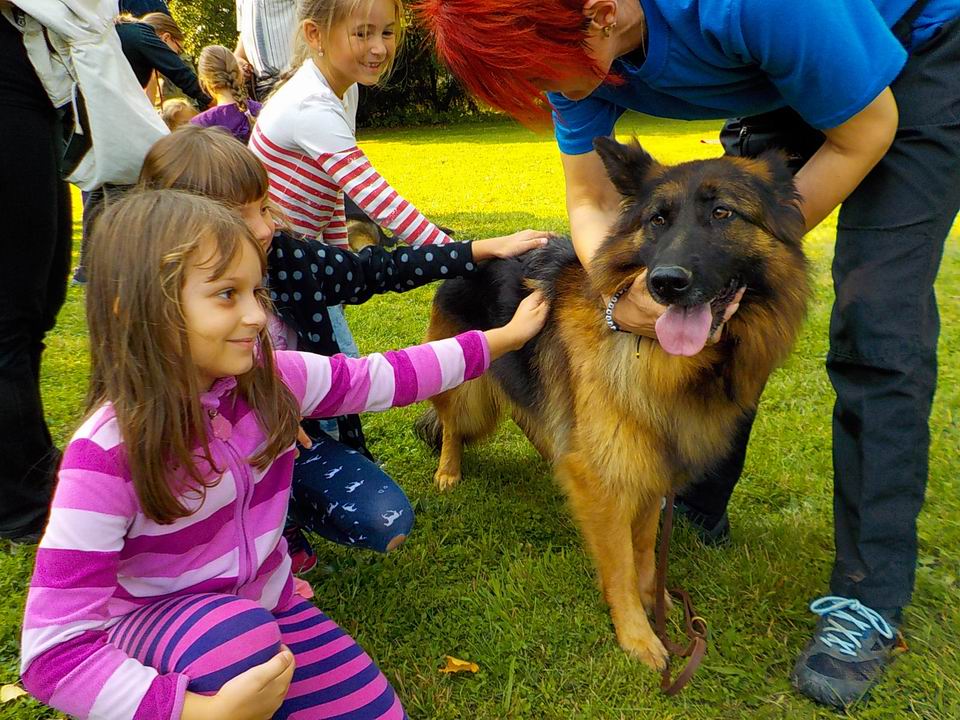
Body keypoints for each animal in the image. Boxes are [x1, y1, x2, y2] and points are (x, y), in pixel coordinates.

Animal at [418, 139, 808, 668]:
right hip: (468, 388)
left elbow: (643, 549)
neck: (663, 361)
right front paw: (637, 633)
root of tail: (467, 249)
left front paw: (654, 600)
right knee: (453, 425)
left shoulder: (647, 468)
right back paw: (449, 470)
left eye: (723, 213)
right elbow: (620, 562)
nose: (667, 282)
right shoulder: (611, 478)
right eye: (657, 219)